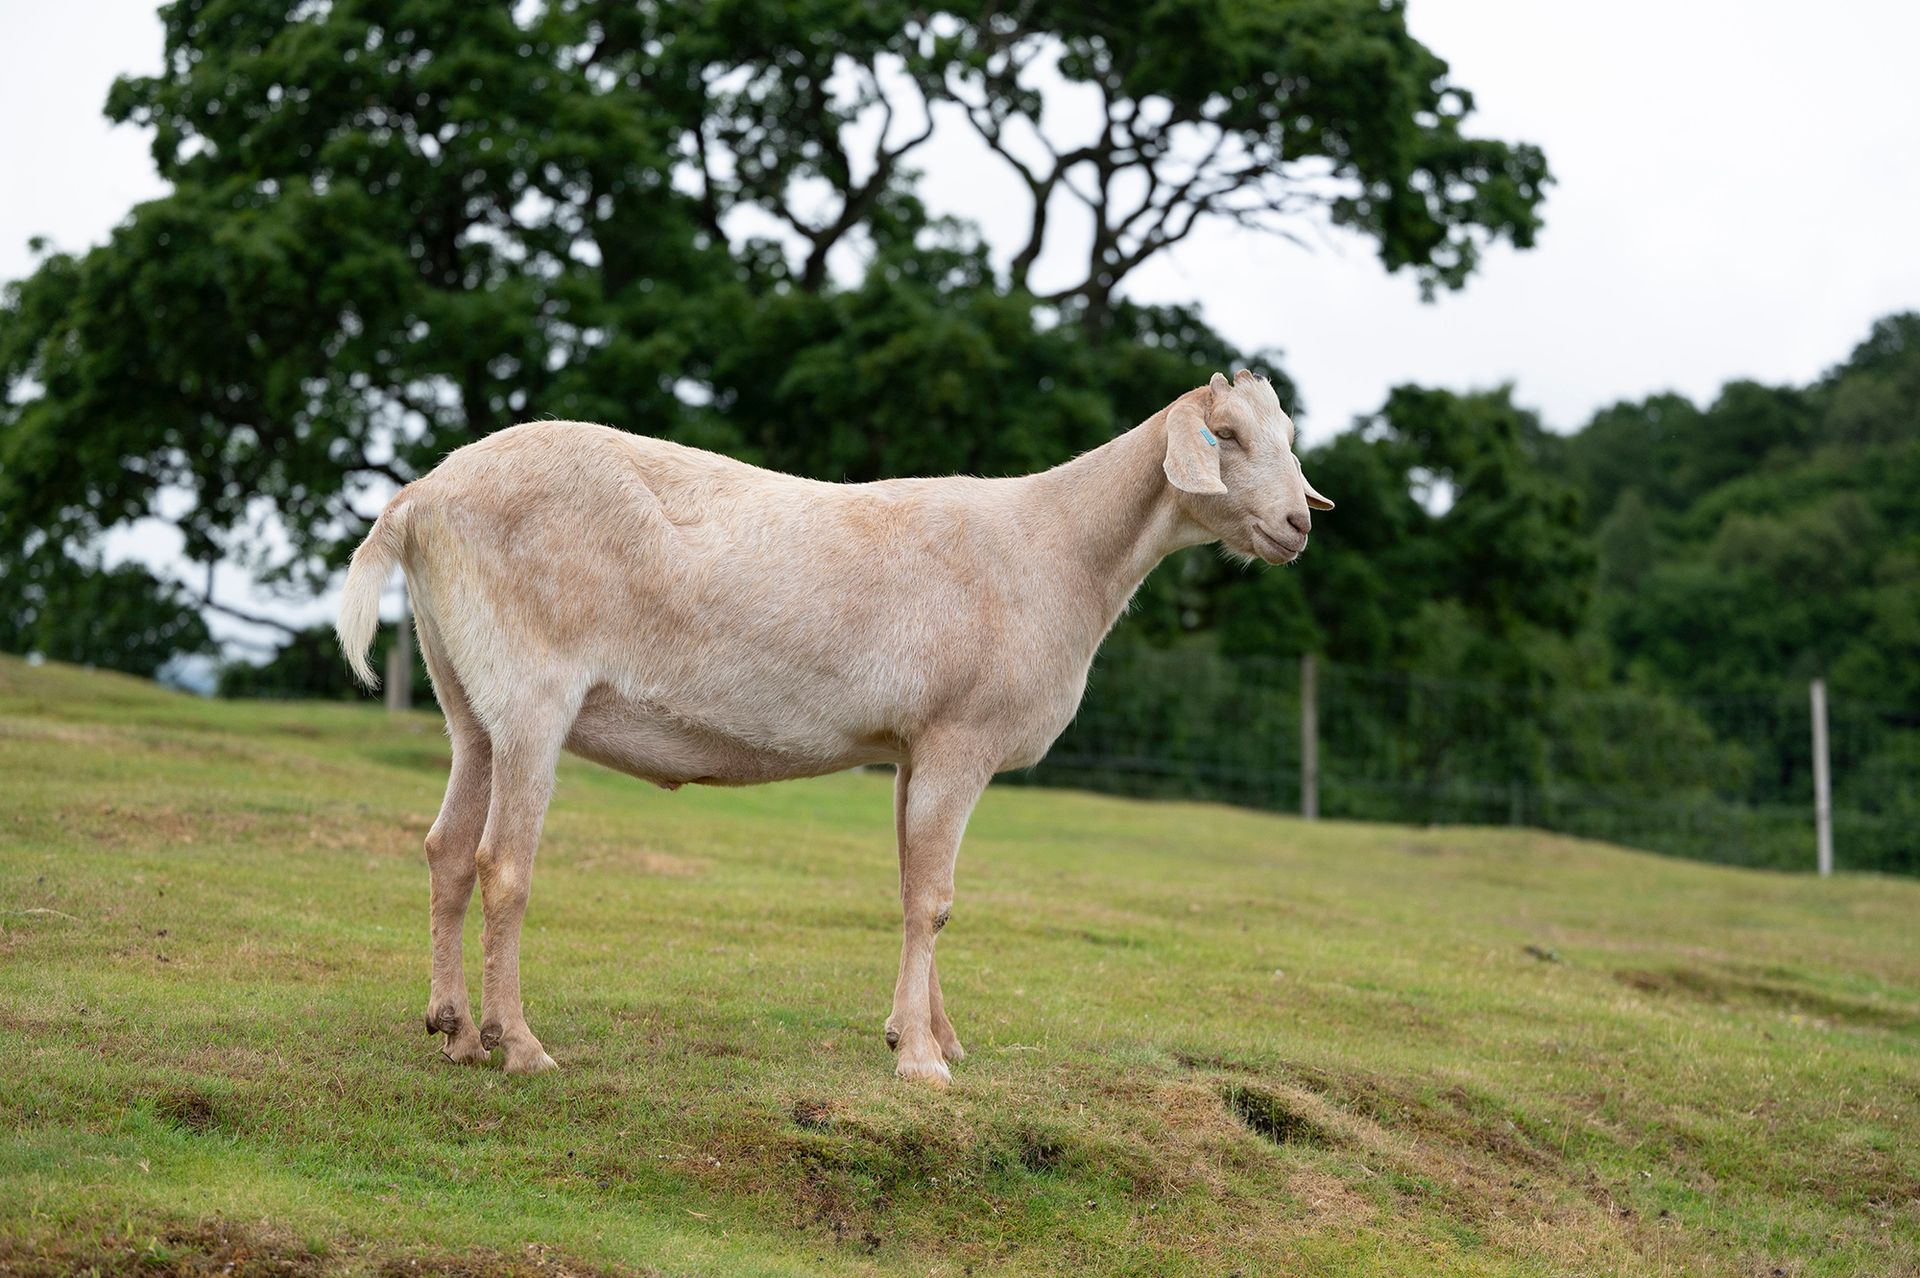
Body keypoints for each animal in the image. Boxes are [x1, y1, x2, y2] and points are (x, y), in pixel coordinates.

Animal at [336, 369, 1333, 1084]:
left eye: (1286, 440)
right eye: (1226, 436)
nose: (1296, 525)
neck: (1060, 549)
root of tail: (419, 498)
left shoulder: (912, 749)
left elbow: (910, 886)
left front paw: (927, 1034)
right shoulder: (960, 738)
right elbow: (935, 899)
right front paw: (925, 1064)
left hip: (468, 698)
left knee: (445, 849)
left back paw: (454, 1030)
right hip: (533, 695)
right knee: (503, 865)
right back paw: (520, 1045)